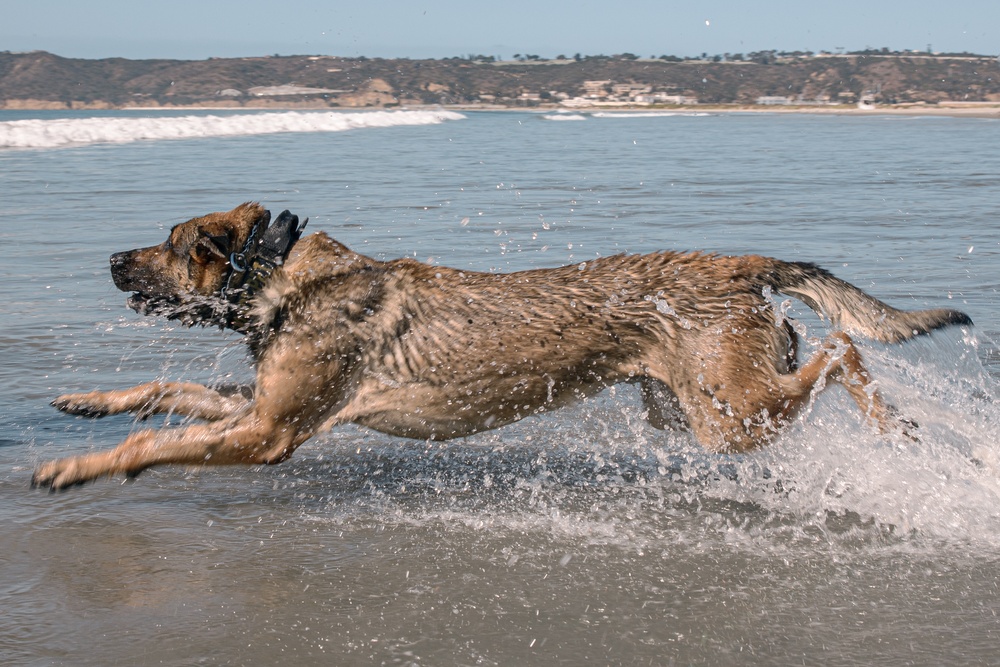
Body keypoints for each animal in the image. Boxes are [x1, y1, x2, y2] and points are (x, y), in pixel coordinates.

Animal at [33, 201, 976, 488]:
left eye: (174, 243)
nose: (111, 260)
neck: (284, 276)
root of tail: (740, 263)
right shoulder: (257, 407)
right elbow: (162, 394)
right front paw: (86, 402)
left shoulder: (266, 433)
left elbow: (155, 440)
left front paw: (78, 466)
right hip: (684, 411)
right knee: (825, 351)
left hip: (731, 414)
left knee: (845, 350)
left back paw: (897, 426)